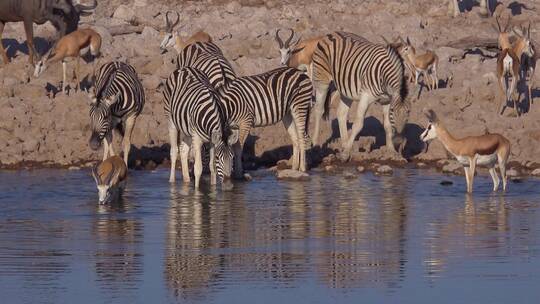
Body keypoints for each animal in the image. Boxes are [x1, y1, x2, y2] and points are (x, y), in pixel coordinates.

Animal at [310, 31, 412, 162]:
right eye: (393, 111)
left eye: (408, 112)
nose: (399, 142)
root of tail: (332, 33)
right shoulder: (366, 96)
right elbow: (358, 124)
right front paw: (345, 154)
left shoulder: (387, 101)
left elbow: (388, 126)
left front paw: (392, 152)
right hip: (322, 81)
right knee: (318, 110)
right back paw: (315, 143)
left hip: (345, 89)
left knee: (341, 113)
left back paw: (345, 145)